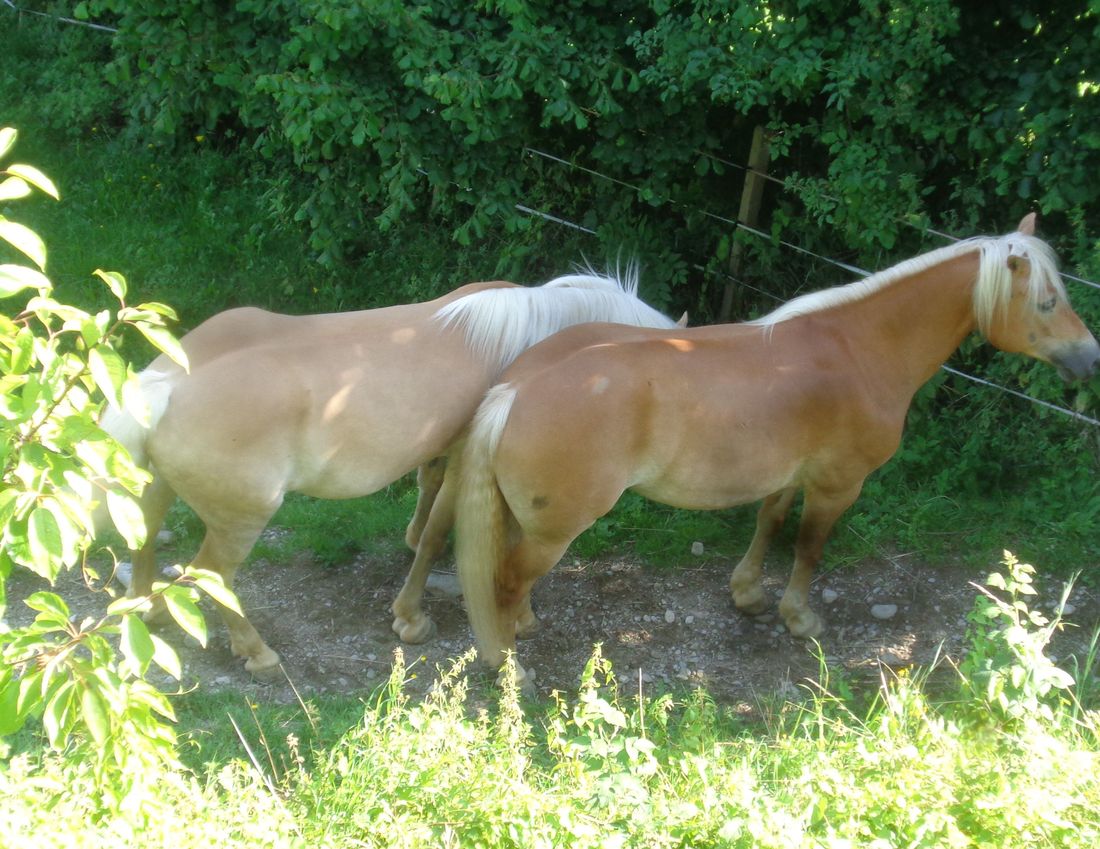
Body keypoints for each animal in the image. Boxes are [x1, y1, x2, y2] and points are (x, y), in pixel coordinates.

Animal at [101, 271, 680, 676]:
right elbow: (445, 534)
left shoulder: (444, 455)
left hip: (158, 487)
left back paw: (146, 612)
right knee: (214, 577)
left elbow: (426, 498)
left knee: (145, 536)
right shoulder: (469, 462)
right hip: (240, 522)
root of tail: (166, 384)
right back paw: (257, 653)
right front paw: (412, 617)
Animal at [453, 216, 1100, 683]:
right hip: (559, 528)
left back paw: (524, 627)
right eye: (1047, 302)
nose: (1090, 358)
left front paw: (748, 594)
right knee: (505, 580)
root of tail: (516, 387)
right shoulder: (838, 485)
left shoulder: (788, 474)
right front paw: (799, 617)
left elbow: (769, 523)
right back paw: (510, 667)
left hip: (533, 521)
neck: (857, 348)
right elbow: (809, 549)